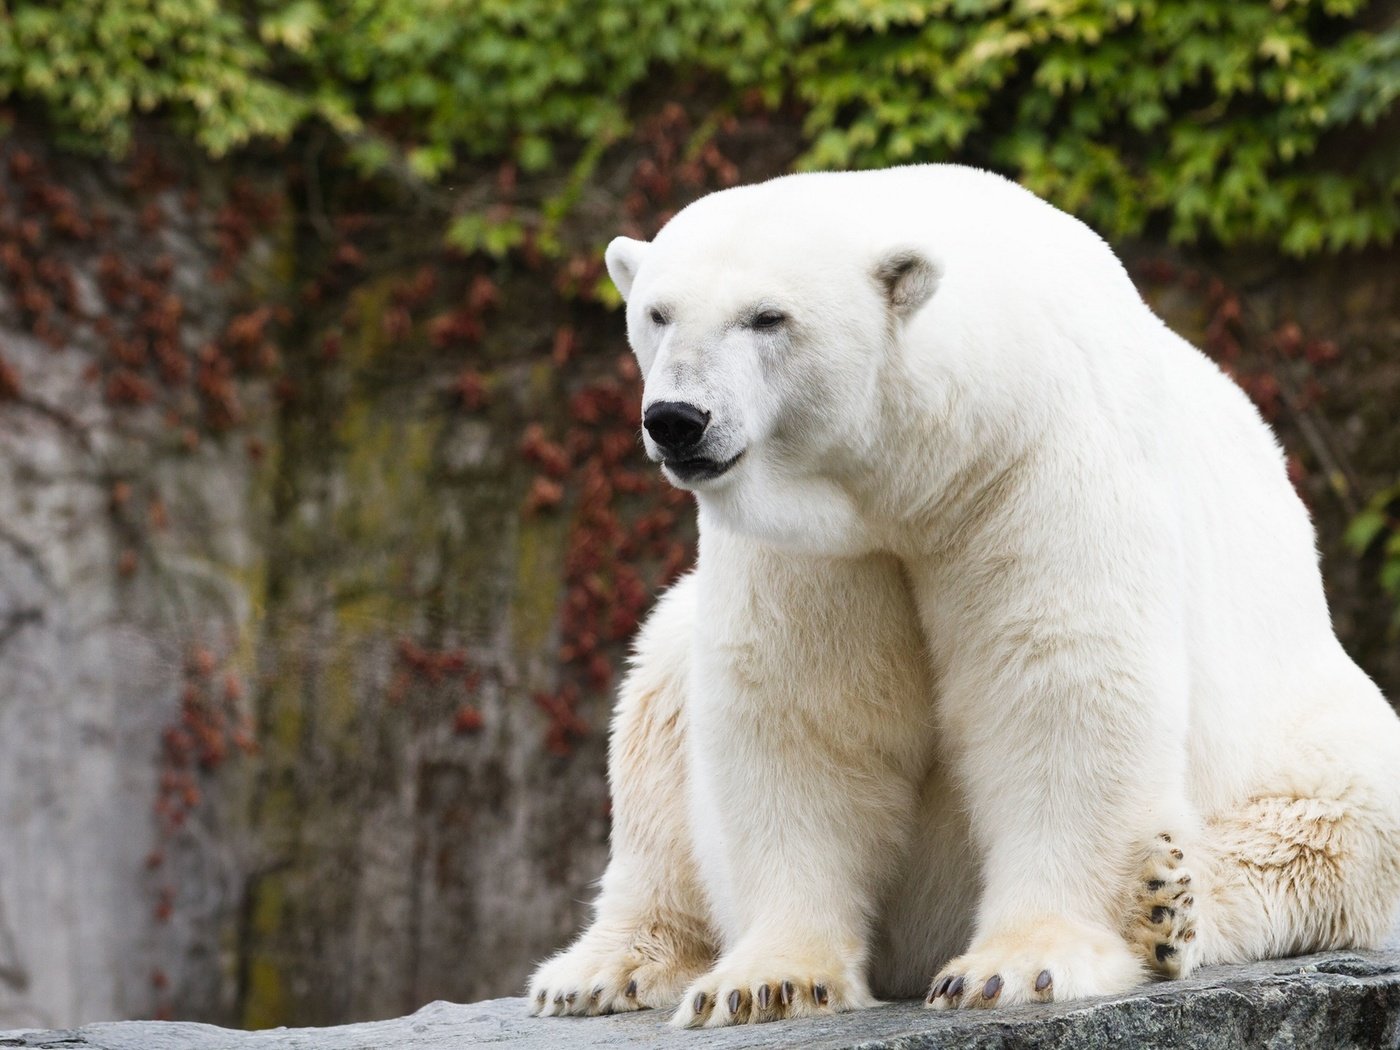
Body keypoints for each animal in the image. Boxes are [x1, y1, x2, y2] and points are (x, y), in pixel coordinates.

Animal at [526, 166, 1400, 1030]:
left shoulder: (1038, 460)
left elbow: (1058, 680)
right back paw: (601, 970)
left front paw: (1015, 967)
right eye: (657, 313)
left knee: (1332, 829)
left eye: (767, 317)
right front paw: (767, 982)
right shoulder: (821, 545)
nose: (678, 419)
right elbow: (804, 707)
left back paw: (1164, 905)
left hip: (1306, 725)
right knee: (658, 698)